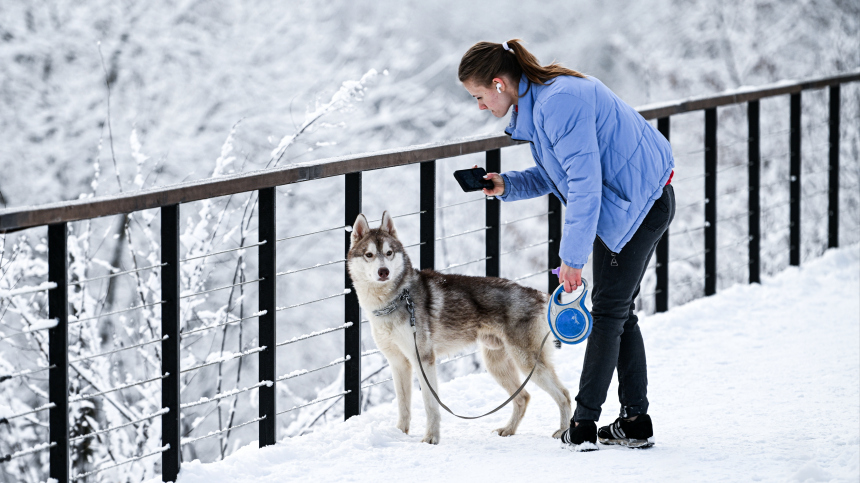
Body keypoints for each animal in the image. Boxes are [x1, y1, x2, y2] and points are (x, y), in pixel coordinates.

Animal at [350, 213, 572, 446]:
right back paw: (508, 430)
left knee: (564, 395)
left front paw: (431, 438)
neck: (395, 300)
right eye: (369, 255)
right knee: (523, 397)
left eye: (389, 253)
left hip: (527, 362)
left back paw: (562, 431)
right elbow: (404, 406)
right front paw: (400, 434)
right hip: (496, 364)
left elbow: (430, 405)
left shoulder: (424, 361)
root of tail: (538, 294)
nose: (383, 271)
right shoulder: (398, 363)